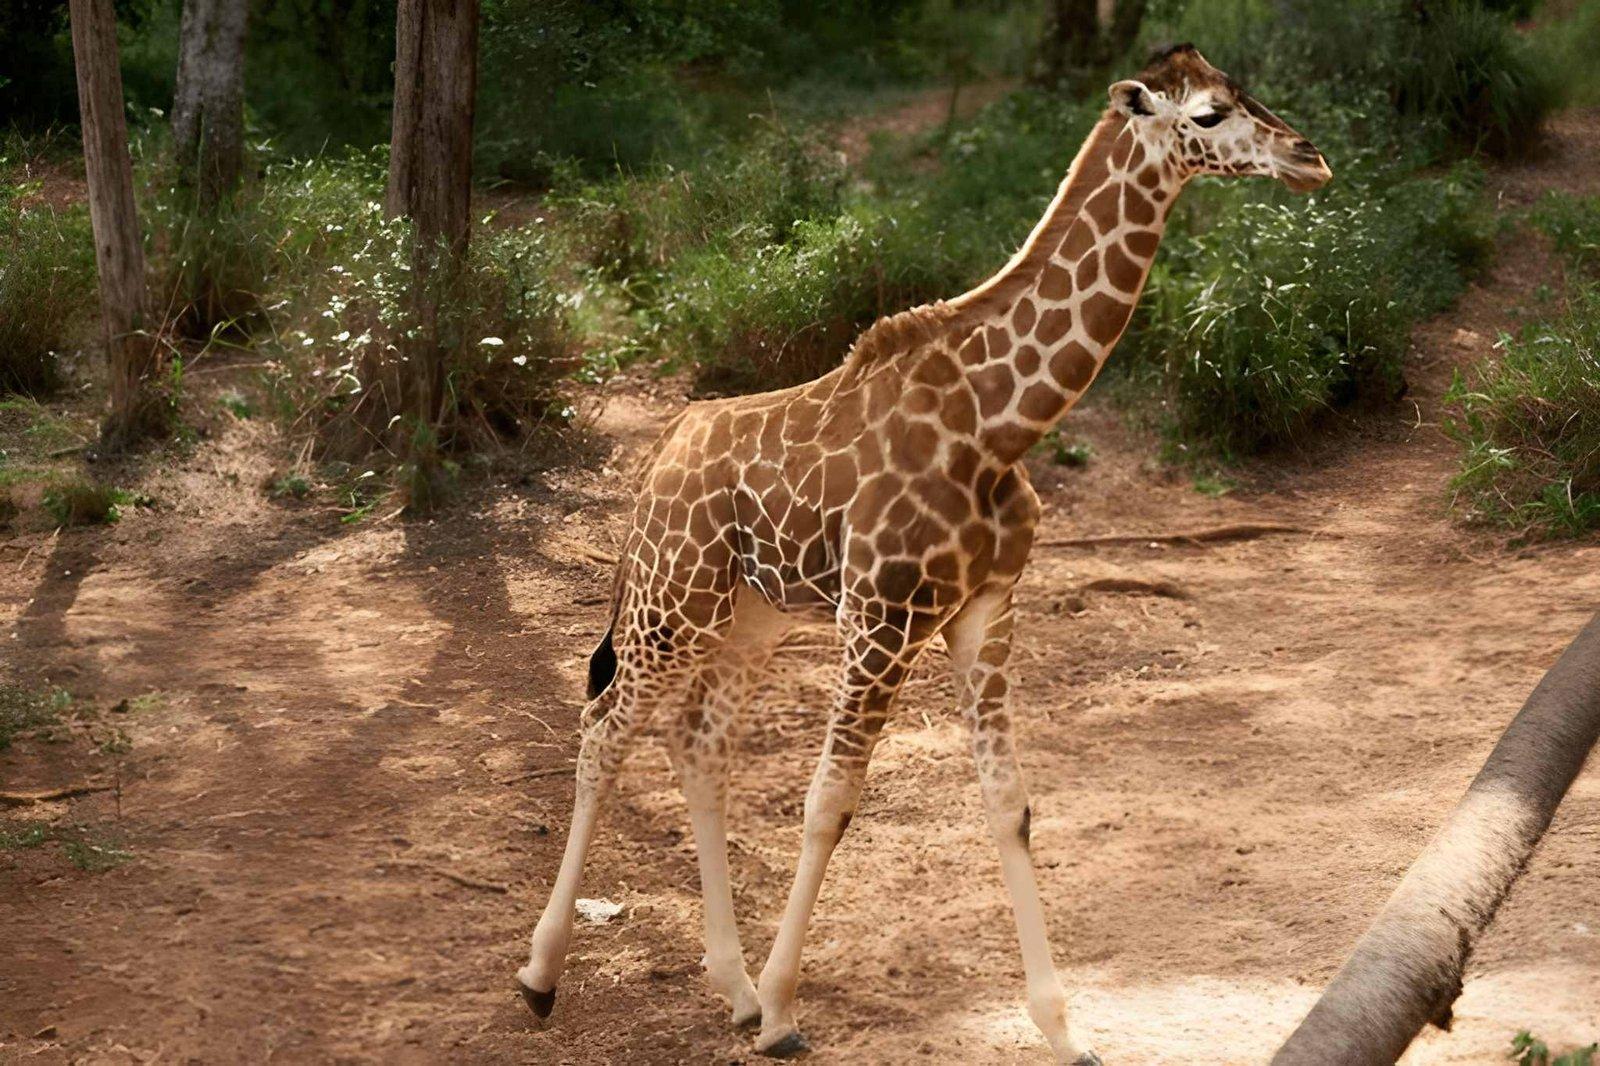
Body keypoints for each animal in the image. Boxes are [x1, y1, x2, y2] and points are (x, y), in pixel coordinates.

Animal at [517, 44, 1331, 1063]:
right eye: (1213, 113)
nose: (1310, 158)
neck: (1001, 421)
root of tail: (659, 459)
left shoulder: (985, 610)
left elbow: (1009, 805)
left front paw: (1064, 1030)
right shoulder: (882, 619)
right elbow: (830, 799)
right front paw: (784, 1012)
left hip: (749, 618)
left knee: (698, 746)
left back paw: (730, 988)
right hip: (675, 601)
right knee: (603, 729)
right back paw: (542, 977)